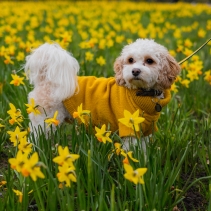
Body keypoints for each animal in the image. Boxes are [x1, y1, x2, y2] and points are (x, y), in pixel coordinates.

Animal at [24, 38, 180, 149]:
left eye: (149, 60)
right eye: (130, 60)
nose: (135, 71)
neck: (141, 94)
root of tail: (45, 79)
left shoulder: (145, 130)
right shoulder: (129, 129)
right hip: (44, 121)